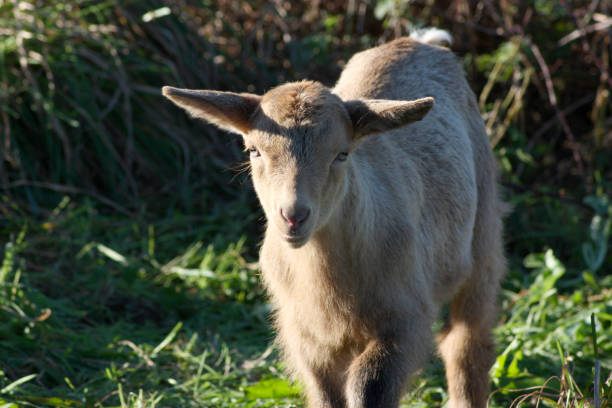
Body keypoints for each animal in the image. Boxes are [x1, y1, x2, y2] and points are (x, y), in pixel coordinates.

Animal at [163, 30, 506, 408]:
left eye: (342, 154)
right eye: (253, 151)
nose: (294, 216)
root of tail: (421, 41)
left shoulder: (403, 321)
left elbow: (369, 387)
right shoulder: (306, 337)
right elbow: (327, 395)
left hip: (483, 229)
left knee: (467, 343)